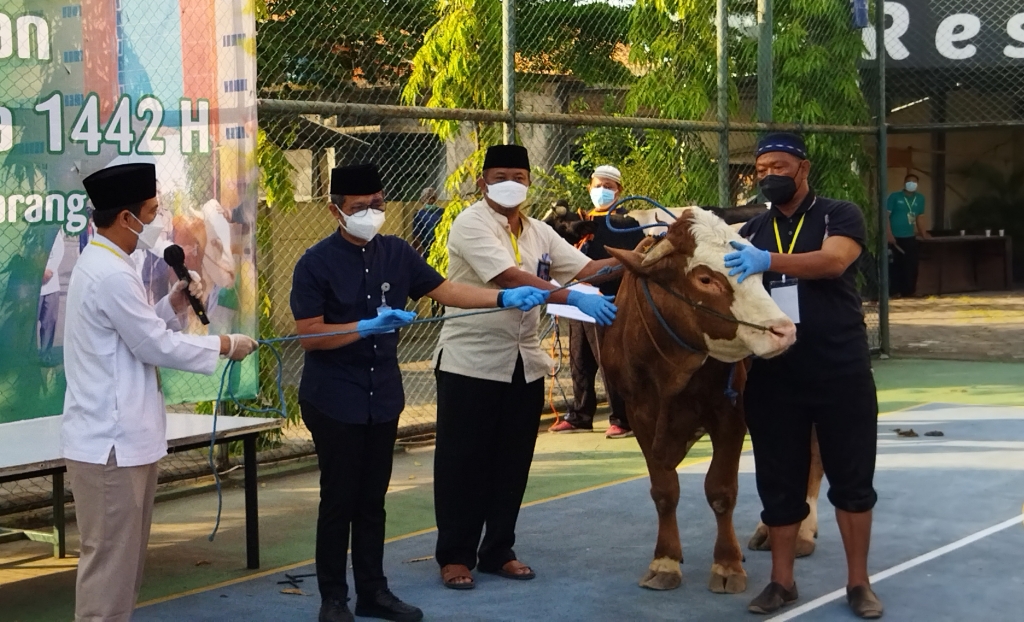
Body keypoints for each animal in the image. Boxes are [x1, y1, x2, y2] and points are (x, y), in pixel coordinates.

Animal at [601, 206, 797, 593]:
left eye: (757, 271)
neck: (671, 370)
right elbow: (664, 491)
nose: (783, 330)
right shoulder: (640, 415)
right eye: (705, 279)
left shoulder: (730, 413)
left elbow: (720, 490)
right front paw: (665, 561)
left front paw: (727, 564)